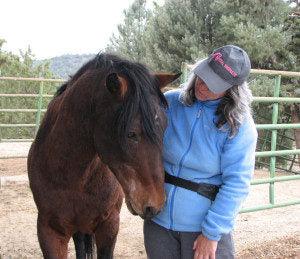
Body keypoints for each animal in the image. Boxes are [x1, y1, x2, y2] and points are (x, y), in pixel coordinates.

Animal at [27, 53, 179, 259]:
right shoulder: (49, 232)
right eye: (131, 134)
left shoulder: (109, 226)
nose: (155, 205)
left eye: (164, 127)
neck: (72, 178)